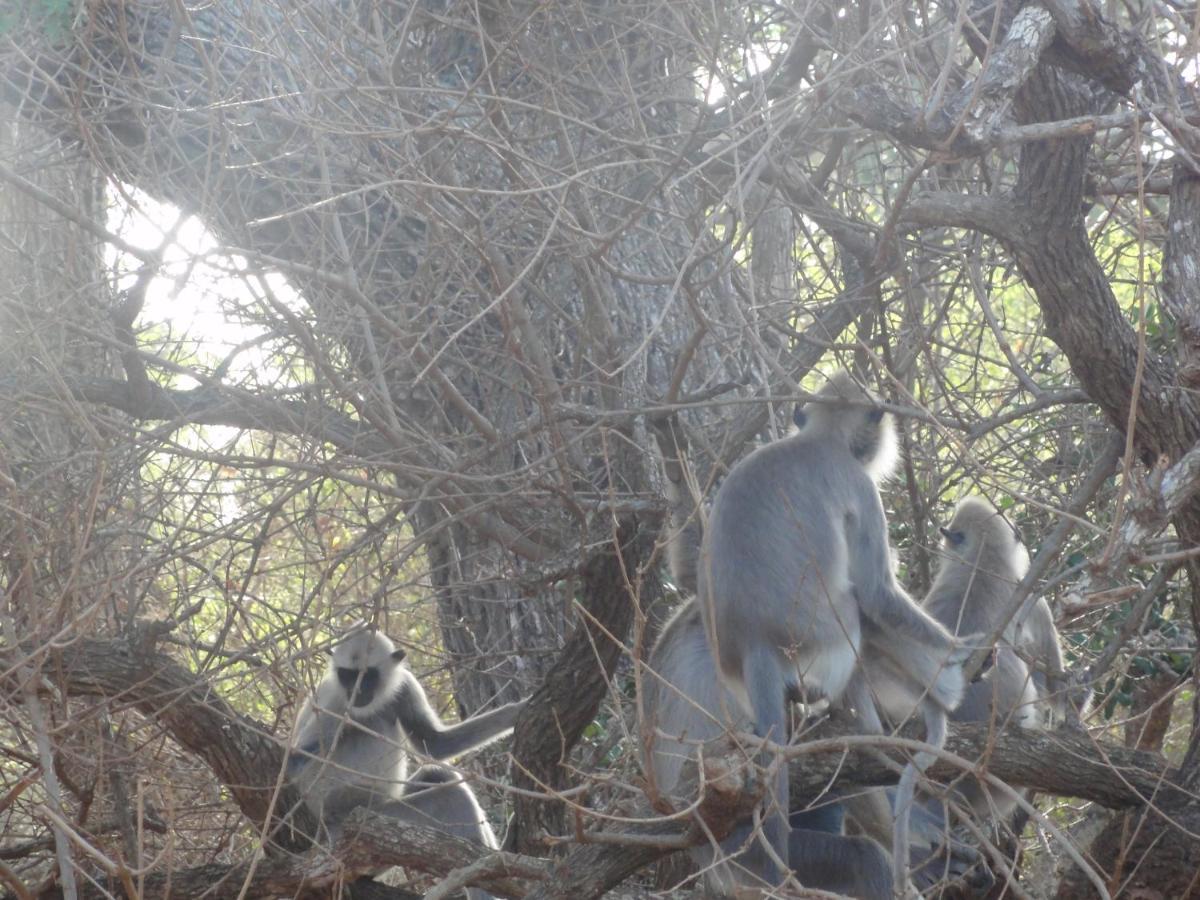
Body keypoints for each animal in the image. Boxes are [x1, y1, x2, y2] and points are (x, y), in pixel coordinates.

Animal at [700, 369, 979, 892]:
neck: (818, 439)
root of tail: (754, 642)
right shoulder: (858, 485)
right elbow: (876, 592)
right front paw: (960, 648)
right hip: (829, 642)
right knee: (859, 608)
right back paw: (900, 713)